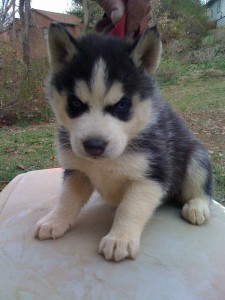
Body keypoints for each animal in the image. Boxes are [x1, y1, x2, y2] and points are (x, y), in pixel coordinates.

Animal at [34, 23, 213, 262]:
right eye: (75, 103)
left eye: (121, 105)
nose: (94, 146)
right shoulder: (77, 171)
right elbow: (67, 199)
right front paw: (55, 220)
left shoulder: (151, 175)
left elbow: (130, 208)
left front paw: (119, 238)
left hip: (196, 156)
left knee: (201, 186)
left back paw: (197, 206)